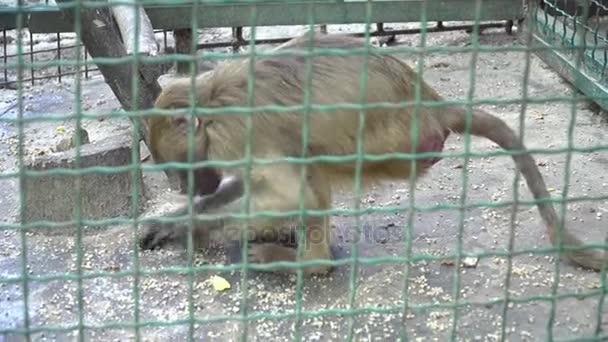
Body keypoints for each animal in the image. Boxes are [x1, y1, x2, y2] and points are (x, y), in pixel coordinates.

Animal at [139, 32, 608, 276]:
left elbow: (293, 195)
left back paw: (309, 265)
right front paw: (176, 220)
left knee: (313, 165)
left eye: (182, 170)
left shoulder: (237, 133)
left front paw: (197, 228)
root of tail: (430, 103)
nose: (192, 186)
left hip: (397, 147)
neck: (210, 104)